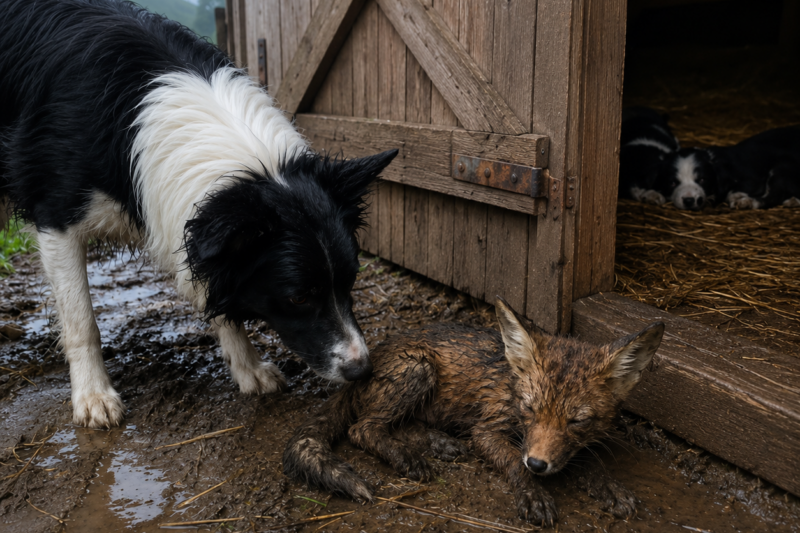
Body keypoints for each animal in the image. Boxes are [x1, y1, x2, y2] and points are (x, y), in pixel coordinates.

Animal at [283, 298, 665, 526]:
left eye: (578, 421)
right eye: (529, 408)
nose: (538, 464)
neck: (512, 388)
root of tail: (371, 358)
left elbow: (589, 461)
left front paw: (609, 486)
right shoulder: (487, 430)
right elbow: (513, 463)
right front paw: (532, 493)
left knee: (398, 425)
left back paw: (438, 442)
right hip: (419, 368)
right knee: (362, 428)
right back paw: (407, 456)